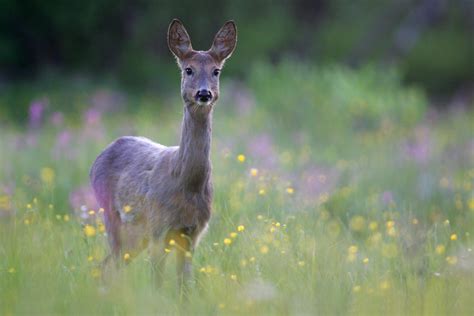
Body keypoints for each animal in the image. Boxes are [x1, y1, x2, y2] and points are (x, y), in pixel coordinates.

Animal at [89, 18, 237, 292]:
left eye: (216, 71)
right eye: (188, 69)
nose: (204, 93)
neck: (186, 183)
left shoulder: (191, 233)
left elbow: (184, 286)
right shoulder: (159, 228)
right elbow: (156, 283)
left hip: (136, 236)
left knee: (107, 266)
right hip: (114, 218)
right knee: (108, 265)